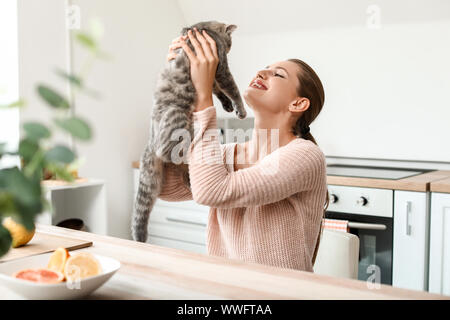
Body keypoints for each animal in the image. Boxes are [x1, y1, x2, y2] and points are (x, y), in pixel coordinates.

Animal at [132, 21, 246, 241]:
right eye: (230, 43)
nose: (230, 48)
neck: (203, 28)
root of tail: (150, 139)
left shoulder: (214, 75)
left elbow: (217, 90)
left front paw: (227, 105)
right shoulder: (222, 69)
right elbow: (232, 89)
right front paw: (239, 108)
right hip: (178, 118)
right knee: (168, 152)